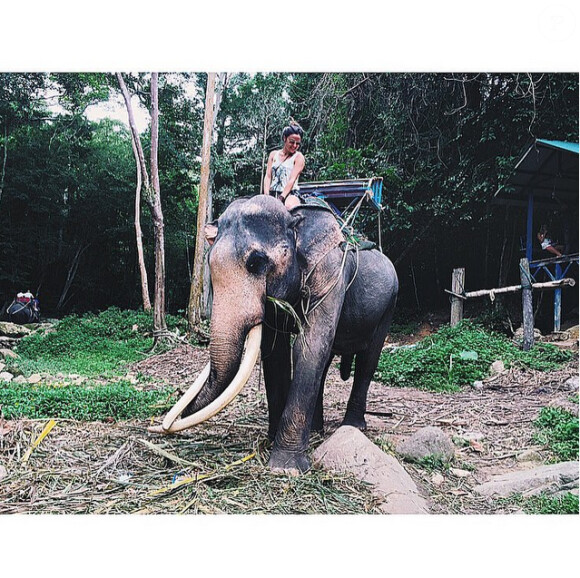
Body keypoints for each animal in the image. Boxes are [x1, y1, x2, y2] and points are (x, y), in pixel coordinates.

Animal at [152, 194, 398, 472]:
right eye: (209, 263)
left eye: (256, 262)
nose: (163, 425)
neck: (295, 217)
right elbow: (276, 353)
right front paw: (271, 441)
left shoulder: (332, 275)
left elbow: (308, 346)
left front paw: (285, 468)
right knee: (326, 364)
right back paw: (317, 430)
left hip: (389, 305)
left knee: (368, 360)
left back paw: (353, 427)